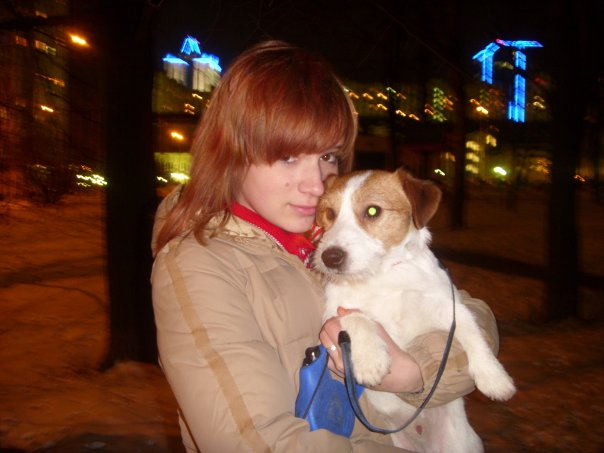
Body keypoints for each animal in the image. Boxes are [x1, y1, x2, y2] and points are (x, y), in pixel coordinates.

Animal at [313, 168, 516, 453]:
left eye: (373, 211)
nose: (329, 257)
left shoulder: (448, 306)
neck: (382, 275)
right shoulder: (334, 313)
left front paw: (494, 377)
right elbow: (358, 317)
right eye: (329, 213)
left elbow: (472, 332)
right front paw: (370, 360)